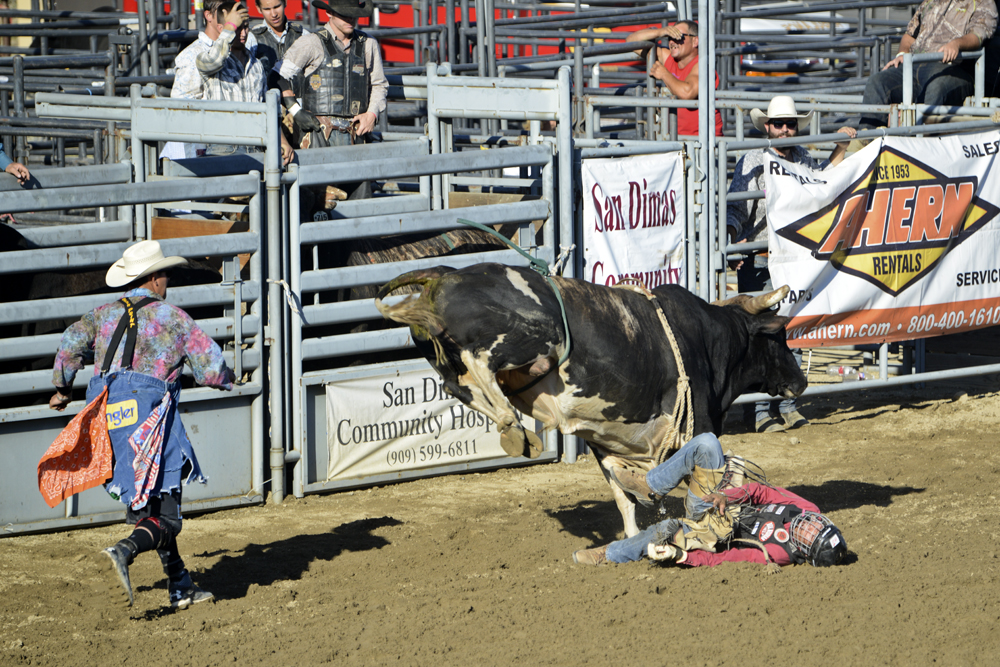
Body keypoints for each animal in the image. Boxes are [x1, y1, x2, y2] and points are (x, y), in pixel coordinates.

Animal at [374, 264, 804, 536]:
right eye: (778, 337)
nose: (800, 382)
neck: (711, 339)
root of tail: (446, 276)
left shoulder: (609, 441)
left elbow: (623, 495)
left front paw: (631, 535)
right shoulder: (700, 426)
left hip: (446, 356)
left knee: (457, 384)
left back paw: (517, 432)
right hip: (533, 336)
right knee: (480, 364)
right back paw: (512, 426)